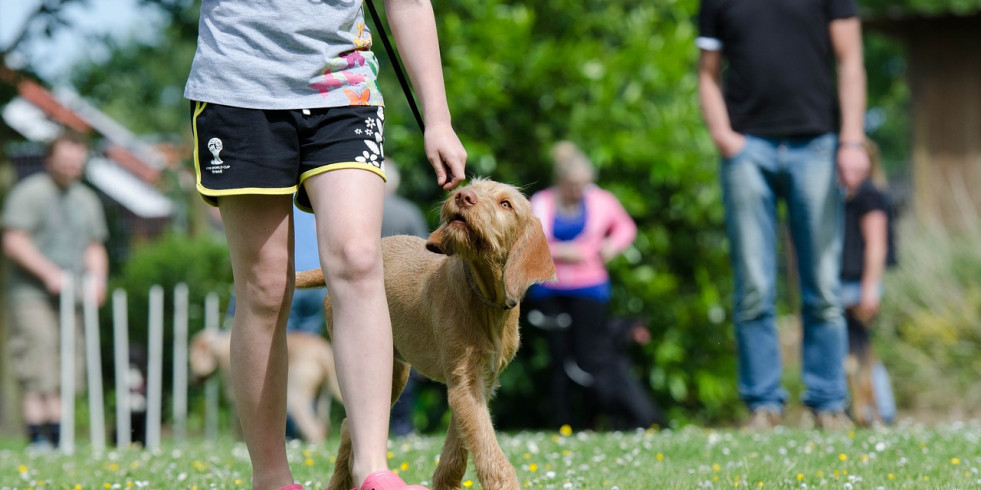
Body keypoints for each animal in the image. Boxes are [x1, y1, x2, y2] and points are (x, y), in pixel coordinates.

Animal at [189, 330, 344, 444]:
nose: (192, 381)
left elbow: (237, 425)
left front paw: (238, 444)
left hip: (295, 396)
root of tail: (322, 351)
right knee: (322, 426)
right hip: (322, 397)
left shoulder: (234, 398)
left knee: (314, 429)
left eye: (191, 360)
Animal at [294, 178, 556, 490]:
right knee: (349, 425)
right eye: (472, 186)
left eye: (506, 204)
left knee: (349, 424)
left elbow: (457, 453)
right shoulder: (465, 383)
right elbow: (489, 451)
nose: (463, 196)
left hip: (394, 372)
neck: (484, 299)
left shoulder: (475, 384)